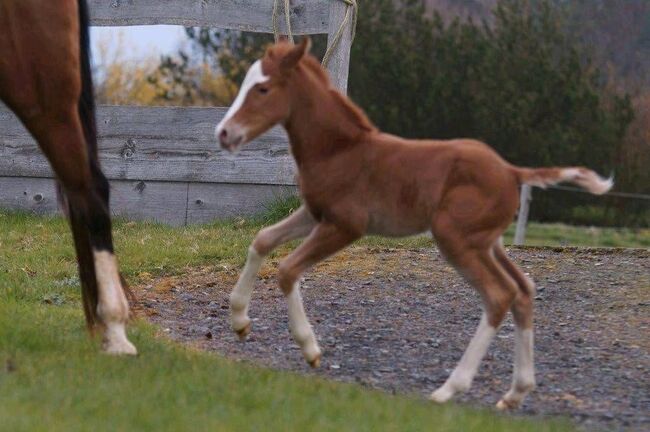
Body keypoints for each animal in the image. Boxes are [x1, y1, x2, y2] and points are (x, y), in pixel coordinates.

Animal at [215, 39, 612, 408]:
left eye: (262, 89)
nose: (224, 133)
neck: (338, 150)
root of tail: (512, 171)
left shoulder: (346, 225)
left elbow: (287, 269)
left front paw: (310, 349)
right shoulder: (314, 214)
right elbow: (263, 239)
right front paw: (239, 322)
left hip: (455, 238)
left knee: (499, 296)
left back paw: (449, 389)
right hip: (487, 242)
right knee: (524, 290)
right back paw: (516, 392)